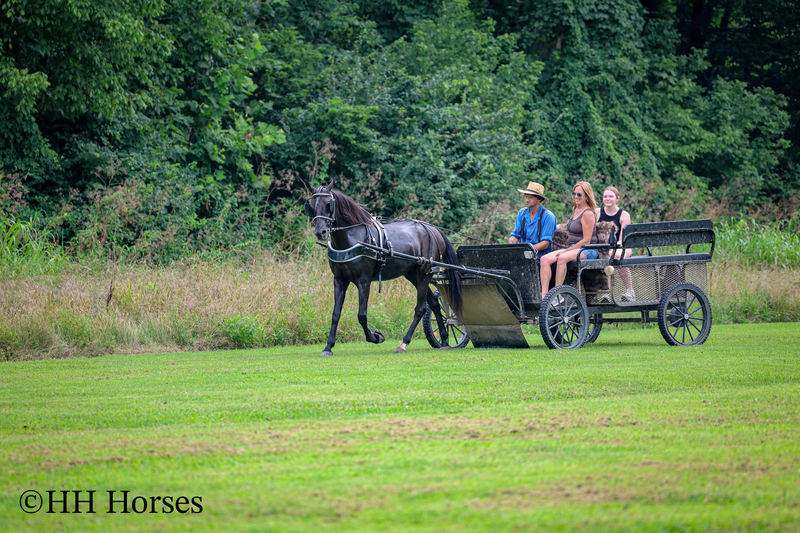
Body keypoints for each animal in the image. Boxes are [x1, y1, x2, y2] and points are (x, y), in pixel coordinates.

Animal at [304, 181, 463, 357]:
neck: (353, 239)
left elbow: (362, 315)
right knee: (434, 303)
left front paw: (376, 337)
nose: (320, 232)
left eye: (328, 204)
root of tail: (432, 229)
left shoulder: (364, 281)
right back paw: (445, 340)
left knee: (420, 309)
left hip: (424, 273)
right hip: (413, 275)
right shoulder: (339, 280)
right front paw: (328, 346)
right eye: (312, 205)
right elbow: (335, 314)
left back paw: (404, 343)